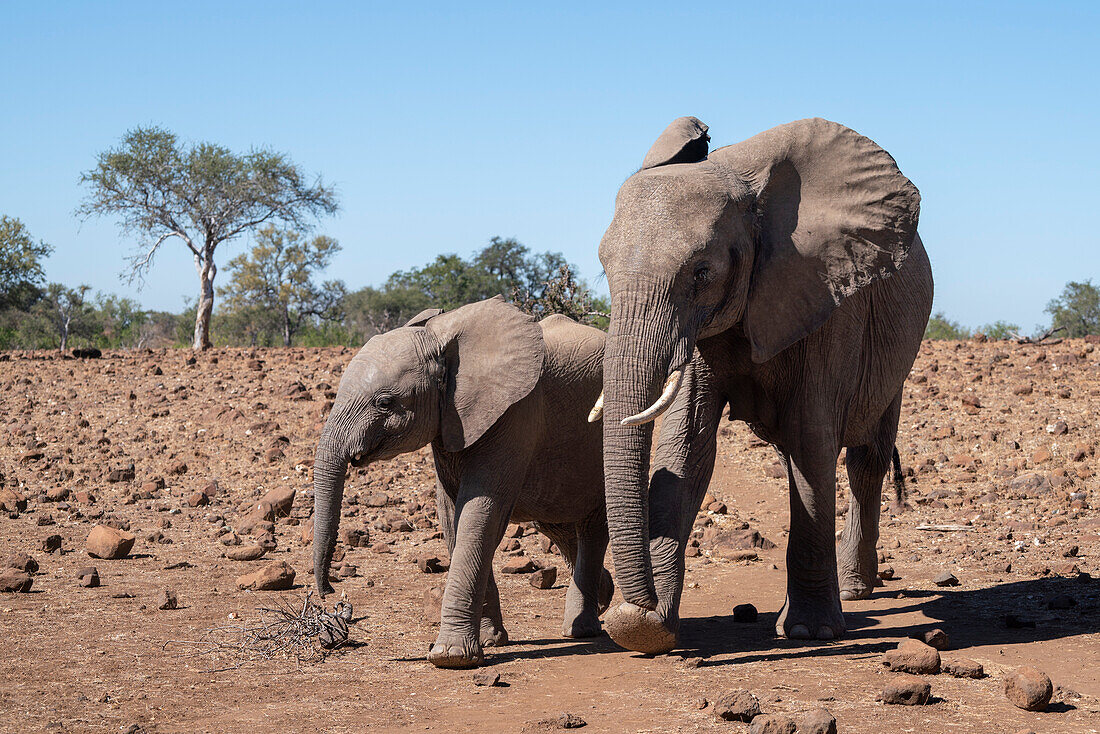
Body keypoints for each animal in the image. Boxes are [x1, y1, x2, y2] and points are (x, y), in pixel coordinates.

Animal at [314, 294, 616, 669]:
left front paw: (451, 657)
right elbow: (451, 516)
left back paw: (581, 630)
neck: (439, 339)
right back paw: (604, 598)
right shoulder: (449, 421)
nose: (330, 594)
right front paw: (489, 641)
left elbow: (480, 513)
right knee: (556, 524)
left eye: (385, 402)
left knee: (592, 526)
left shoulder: (516, 412)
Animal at [589, 116, 932, 655]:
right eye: (604, 268)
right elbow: (685, 447)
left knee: (865, 458)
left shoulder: (825, 296)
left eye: (702, 271)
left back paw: (855, 590)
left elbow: (811, 441)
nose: (632, 610)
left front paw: (812, 633)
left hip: (898, 353)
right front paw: (648, 628)